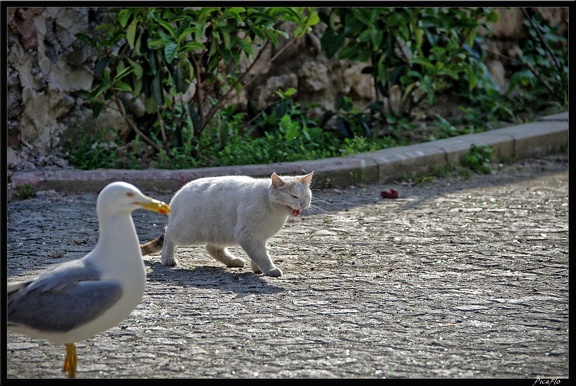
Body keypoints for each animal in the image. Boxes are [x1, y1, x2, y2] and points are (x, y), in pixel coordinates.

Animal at [142, 173, 316, 278]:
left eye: (306, 196)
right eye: (294, 196)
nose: (303, 204)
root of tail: (178, 193)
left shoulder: (258, 238)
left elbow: (258, 253)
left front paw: (257, 267)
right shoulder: (247, 235)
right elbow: (261, 255)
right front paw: (269, 269)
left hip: (220, 232)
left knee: (212, 248)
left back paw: (233, 261)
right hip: (188, 231)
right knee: (169, 234)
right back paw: (168, 258)